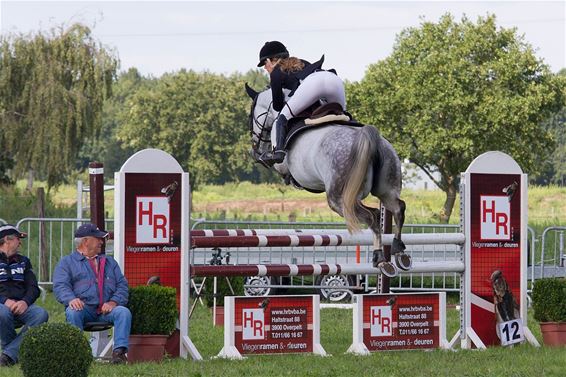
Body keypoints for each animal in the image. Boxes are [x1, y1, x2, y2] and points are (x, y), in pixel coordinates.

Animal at [246, 83, 410, 274]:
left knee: (371, 216)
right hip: (385, 187)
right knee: (396, 208)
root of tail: (368, 137)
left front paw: (265, 159)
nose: (255, 147)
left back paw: (380, 259)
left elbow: (276, 163)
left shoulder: (279, 163)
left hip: (338, 200)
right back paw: (399, 252)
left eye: (251, 115)